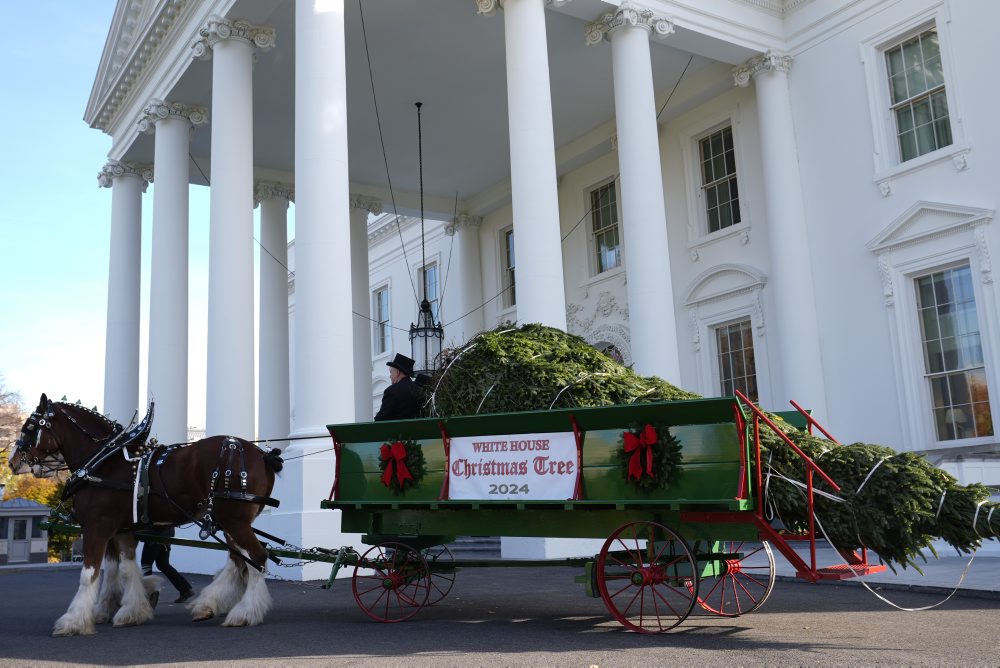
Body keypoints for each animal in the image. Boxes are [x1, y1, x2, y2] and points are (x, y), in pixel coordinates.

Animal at [10, 394, 286, 636]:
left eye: (29, 427)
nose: (13, 462)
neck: (104, 462)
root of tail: (262, 454)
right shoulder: (122, 530)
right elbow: (125, 569)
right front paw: (129, 610)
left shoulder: (97, 526)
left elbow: (89, 574)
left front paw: (73, 621)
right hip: (229, 522)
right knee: (239, 560)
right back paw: (208, 604)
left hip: (233, 520)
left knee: (257, 557)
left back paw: (244, 612)